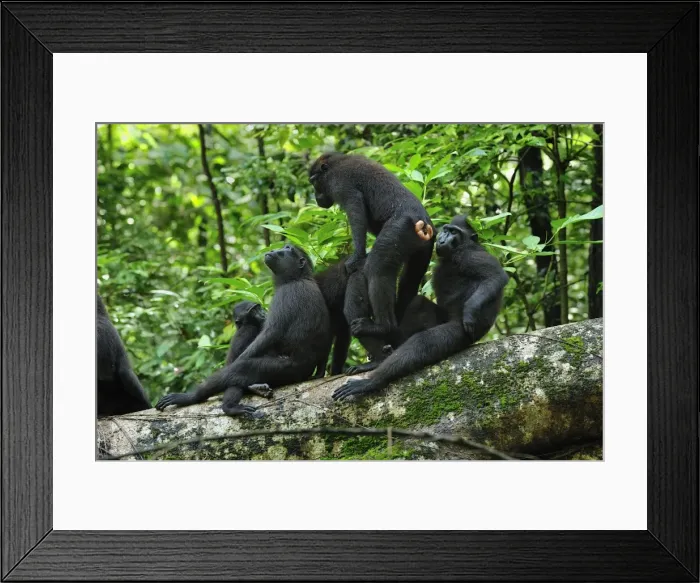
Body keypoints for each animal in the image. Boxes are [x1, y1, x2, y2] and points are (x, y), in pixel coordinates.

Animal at [156, 244, 332, 417]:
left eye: (288, 248)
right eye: (283, 246)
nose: (273, 250)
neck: (298, 278)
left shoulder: (285, 295)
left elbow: (271, 333)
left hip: (285, 369)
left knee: (237, 369)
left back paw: (204, 400)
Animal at [309, 153, 435, 348]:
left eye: (314, 183)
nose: (316, 197)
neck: (335, 163)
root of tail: (423, 226)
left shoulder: (339, 183)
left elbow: (355, 207)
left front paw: (356, 258)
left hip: (399, 231)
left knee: (377, 269)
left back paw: (383, 327)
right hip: (423, 248)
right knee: (409, 280)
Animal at [333, 215, 509, 401]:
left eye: (454, 232)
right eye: (446, 230)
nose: (443, 238)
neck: (457, 251)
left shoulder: (469, 255)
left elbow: (496, 276)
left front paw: (470, 312)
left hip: (459, 333)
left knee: (423, 343)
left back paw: (371, 381)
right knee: (418, 304)